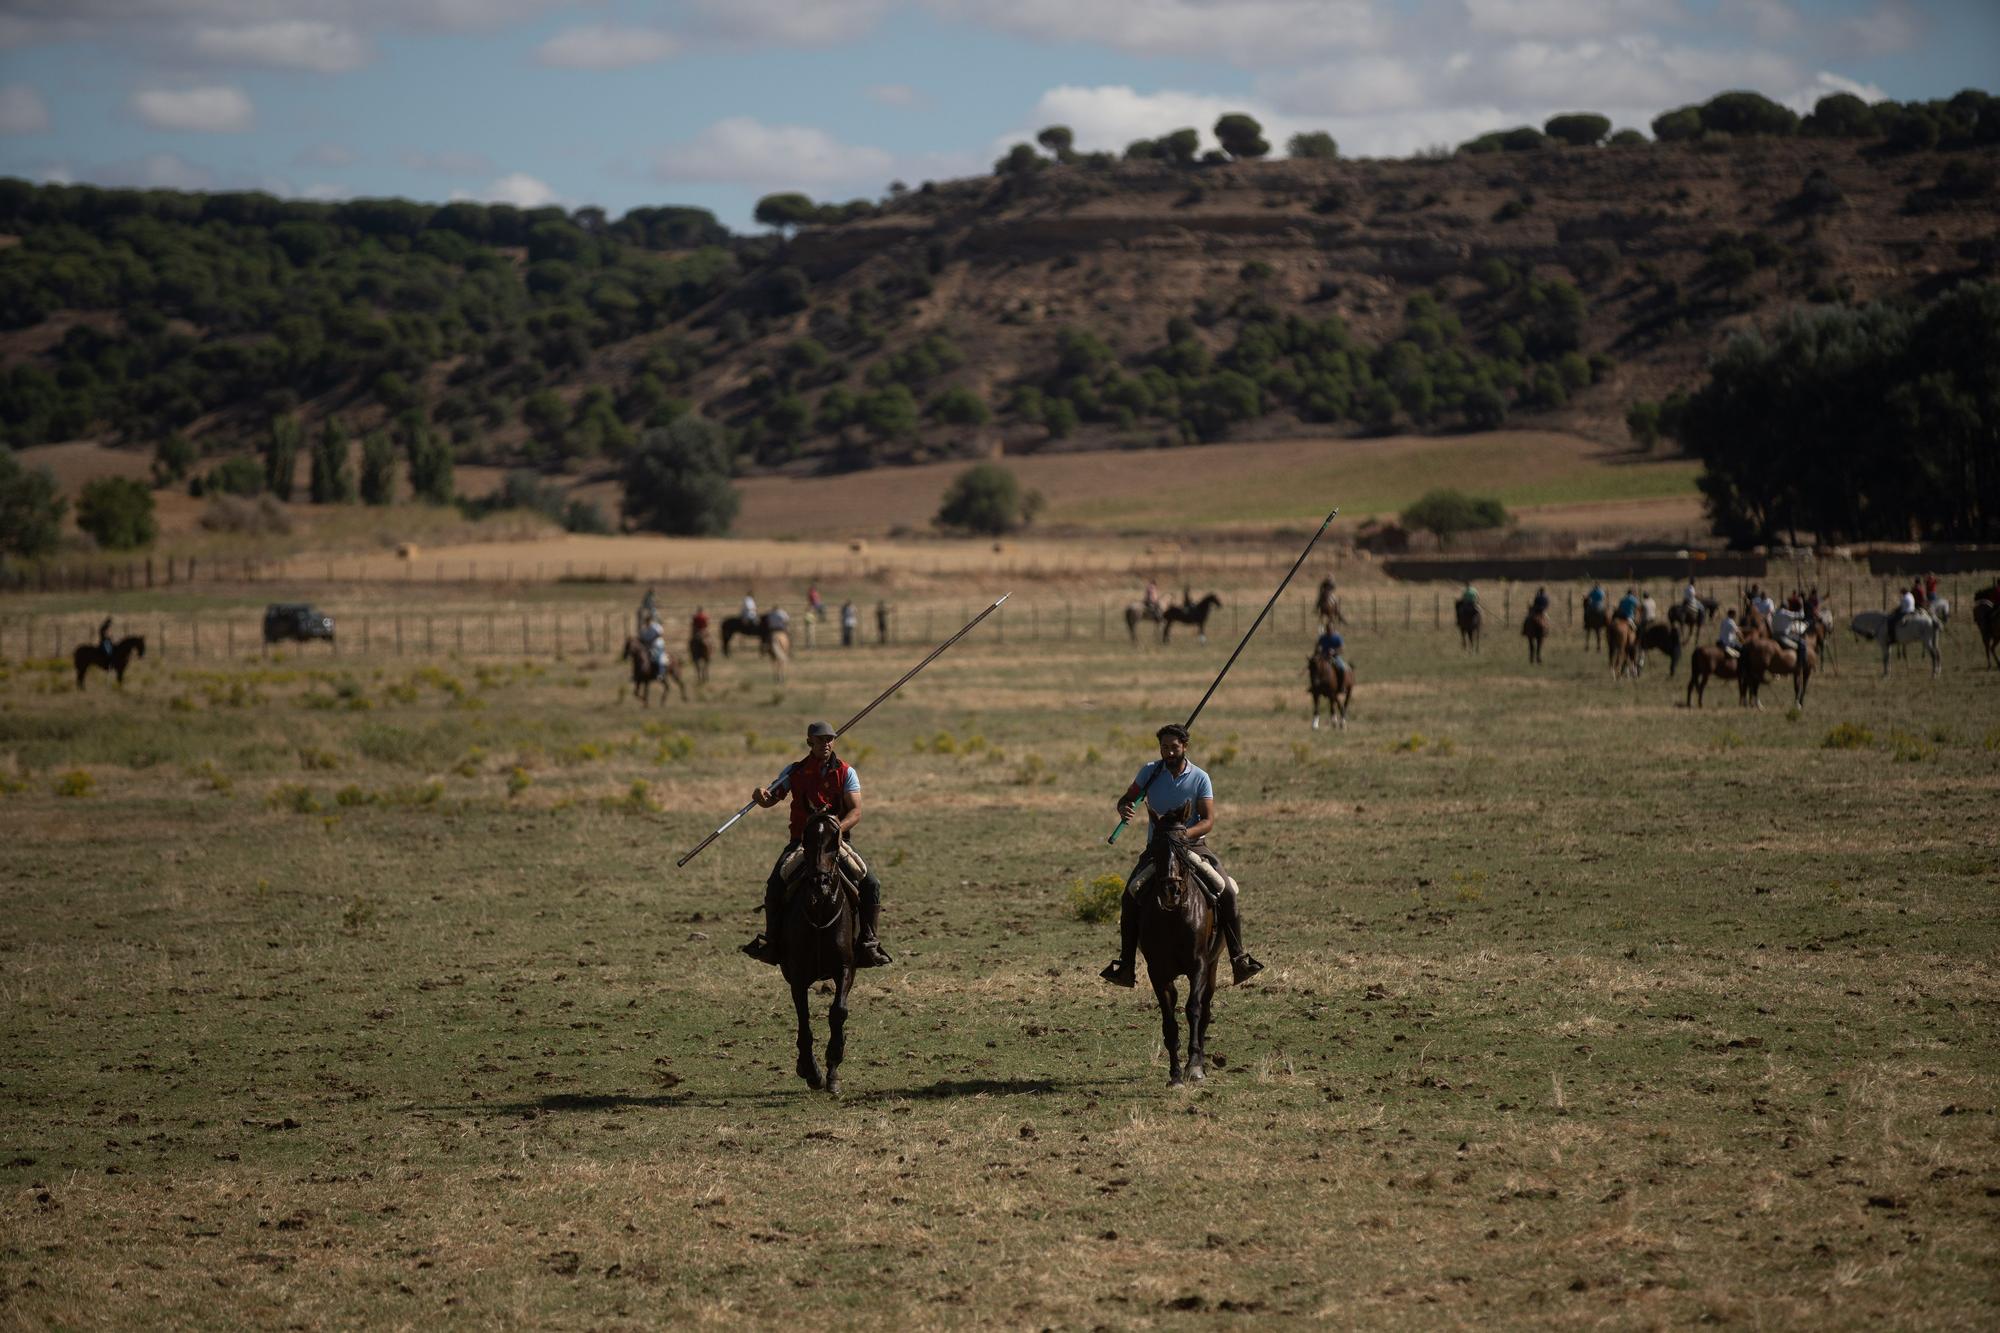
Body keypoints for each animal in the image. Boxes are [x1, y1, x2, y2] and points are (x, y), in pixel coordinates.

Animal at [780, 808, 860, 1088]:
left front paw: (834, 1062)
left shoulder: (846, 967)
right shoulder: (797, 975)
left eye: (834, 844)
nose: (820, 883)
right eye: (807, 841)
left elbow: (838, 1011)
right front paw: (811, 1070)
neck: (820, 913)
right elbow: (803, 1017)